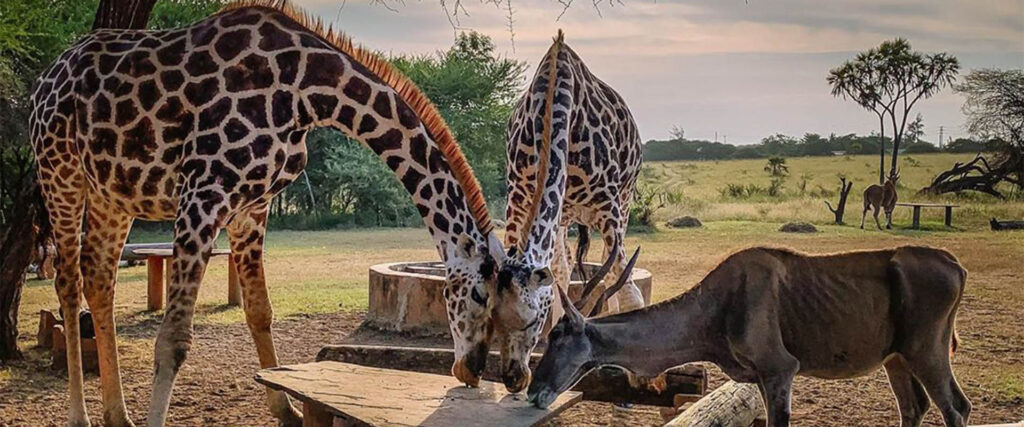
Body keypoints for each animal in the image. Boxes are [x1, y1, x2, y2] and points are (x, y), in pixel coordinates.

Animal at [29, 1, 509, 423]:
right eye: (480, 295)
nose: (472, 369)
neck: (307, 94)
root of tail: (45, 78)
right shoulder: (203, 191)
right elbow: (173, 339)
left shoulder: (252, 205)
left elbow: (260, 311)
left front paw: (288, 410)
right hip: (60, 172)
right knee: (67, 281)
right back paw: (80, 417)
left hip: (113, 193)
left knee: (99, 279)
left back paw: (118, 416)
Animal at [487, 31, 638, 393]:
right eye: (492, 317)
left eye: (532, 320)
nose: (513, 378)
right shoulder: (519, 198)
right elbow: (557, 272)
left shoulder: (609, 206)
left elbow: (627, 284)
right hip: (568, 217)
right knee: (566, 266)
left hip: (623, 202)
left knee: (612, 269)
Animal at [532, 244, 970, 425]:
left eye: (556, 337)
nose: (535, 392)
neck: (718, 307)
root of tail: (954, 264)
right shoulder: (760, 376)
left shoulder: (780, 370)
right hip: (897, 360)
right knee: (913, 408)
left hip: (927, 353)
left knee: (956, 408)